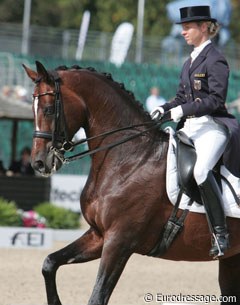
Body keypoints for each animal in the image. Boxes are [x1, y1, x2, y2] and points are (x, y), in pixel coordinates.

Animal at [23, 60, 240, 302]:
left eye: (48, 109)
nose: (38, 162)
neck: (131, 158)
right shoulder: (99, 235)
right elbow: (49, 262)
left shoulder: (119, 242)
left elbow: (97, 297)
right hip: (232, 259)